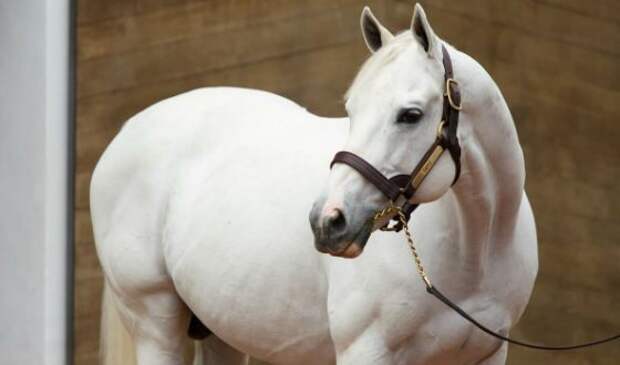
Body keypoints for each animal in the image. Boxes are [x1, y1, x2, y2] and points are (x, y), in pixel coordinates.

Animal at [91, 3, 536, 364]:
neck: (474, 251)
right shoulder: (365, 350)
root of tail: (128, 130)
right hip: (155, 323)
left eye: (410, 115)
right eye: (351, 110)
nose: (327, 222)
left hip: (221, 329)